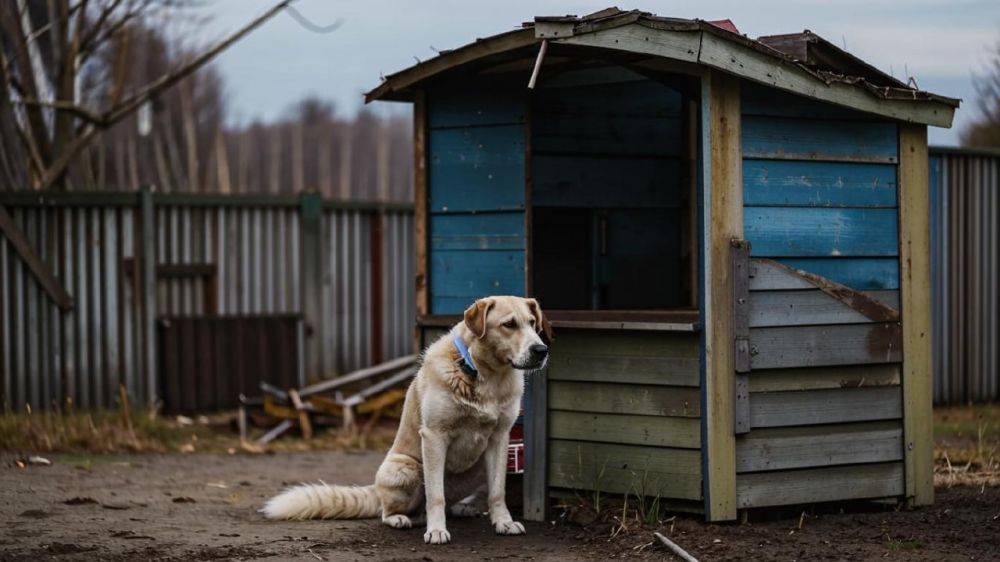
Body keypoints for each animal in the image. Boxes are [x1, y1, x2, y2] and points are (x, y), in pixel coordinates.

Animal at [262, 296, 552, 540]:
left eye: (532, 323)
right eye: (509, 324)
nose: (541, 350)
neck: (484, 374)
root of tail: (375, 490)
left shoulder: (500, 439)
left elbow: (497, 491)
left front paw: (503, 522)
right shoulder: (434, 436)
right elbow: (436, 495)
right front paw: (437, 531)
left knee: (451, 500)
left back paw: (459, 509)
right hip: (406, 468)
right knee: (390, 512)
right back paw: (405, 519)